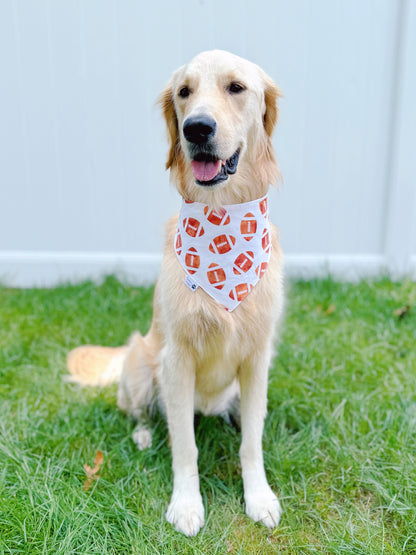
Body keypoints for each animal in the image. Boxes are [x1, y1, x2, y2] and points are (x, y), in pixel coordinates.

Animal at [68, 50, 284, 536]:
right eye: (184, 92)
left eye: (236, 87)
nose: (196, 128)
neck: (223, 218)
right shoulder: (177, 360)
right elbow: (185, 446)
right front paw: (186, 504)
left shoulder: (257, 356)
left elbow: (253, 443)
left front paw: (258, 496)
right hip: (141, 365)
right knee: (140, 411)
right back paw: (144, 433)